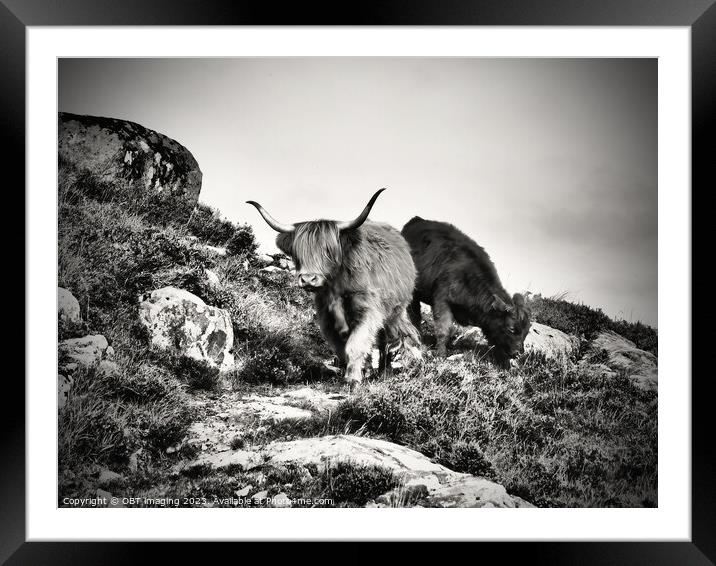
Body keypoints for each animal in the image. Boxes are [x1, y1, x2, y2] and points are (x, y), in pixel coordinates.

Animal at [248, 189, 420, 388]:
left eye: (328, 251)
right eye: (298, 253)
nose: (308, 279)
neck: (336, 287)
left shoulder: (368, 311)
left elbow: (357, 343)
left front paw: (353, 378)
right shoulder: (326, 317)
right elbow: (341, 348)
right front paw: (353, 372)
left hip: (394, 311)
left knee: (387, 338)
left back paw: (385, 370)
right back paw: (369, 370)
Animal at [402, 215, 532, 366]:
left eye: (527, 331)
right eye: (511, 329)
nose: (518, 353)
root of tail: (417, 220)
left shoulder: (488, 322)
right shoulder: (442, 301)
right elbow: (443, 330)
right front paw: (441, 354)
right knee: (414, 315)